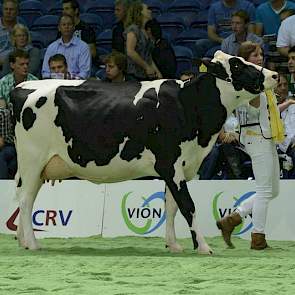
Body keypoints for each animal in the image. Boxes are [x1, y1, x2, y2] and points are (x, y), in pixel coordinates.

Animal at [10, 51, 278, 254]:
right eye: (237, 64)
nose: (274, 74)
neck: (189, 104)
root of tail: (23, 86)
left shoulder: (182, 167)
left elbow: (171, 206)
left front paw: (173, 245)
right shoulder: (170, 163)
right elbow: (187, 205)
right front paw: (203, 247)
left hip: (35, 168)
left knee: (25, 197)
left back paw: (23, 241)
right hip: (33, 160)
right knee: (25, 200)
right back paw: (33, 244)